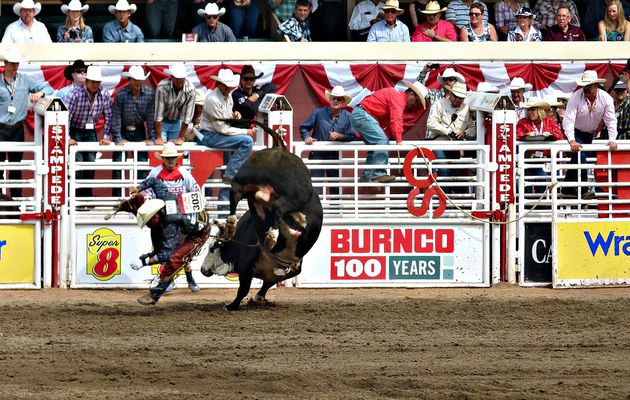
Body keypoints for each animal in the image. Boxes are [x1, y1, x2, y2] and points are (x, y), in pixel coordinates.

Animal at [200, 119, 324, 310]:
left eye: (212, 248)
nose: (202, 269)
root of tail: (278, 150)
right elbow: (254, 285)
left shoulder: (249, 267)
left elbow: (250, 287)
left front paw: (235, 304)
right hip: (278, 191)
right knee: (269, 206)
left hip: (255, 184)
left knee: (246, 199)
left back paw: (238, 225)